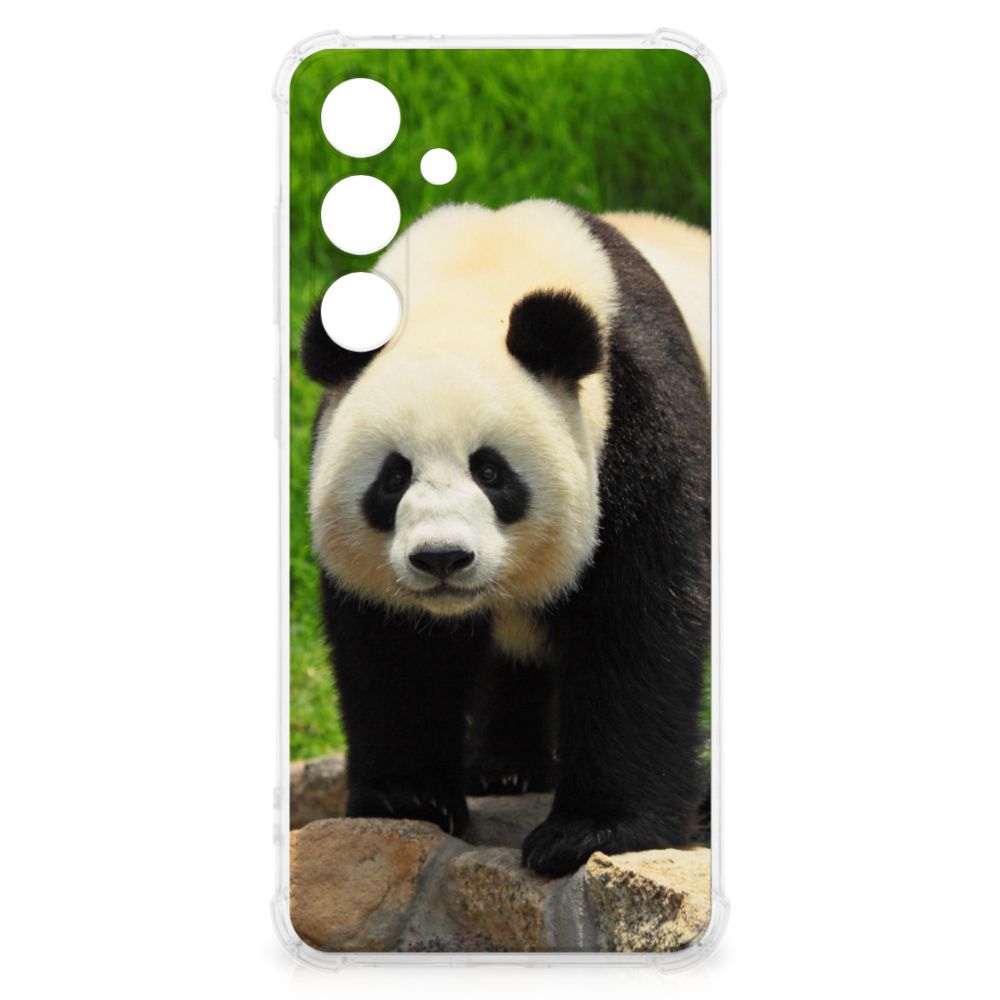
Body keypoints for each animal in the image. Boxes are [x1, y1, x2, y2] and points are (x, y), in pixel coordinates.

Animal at [301, 199, 710, 877]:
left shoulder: (641, 419)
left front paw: (589, 833)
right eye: (393, 477)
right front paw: (408, 799)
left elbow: (638, 622)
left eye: (491, 472)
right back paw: (505, 769)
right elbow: (396, 649)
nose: (442, 558)